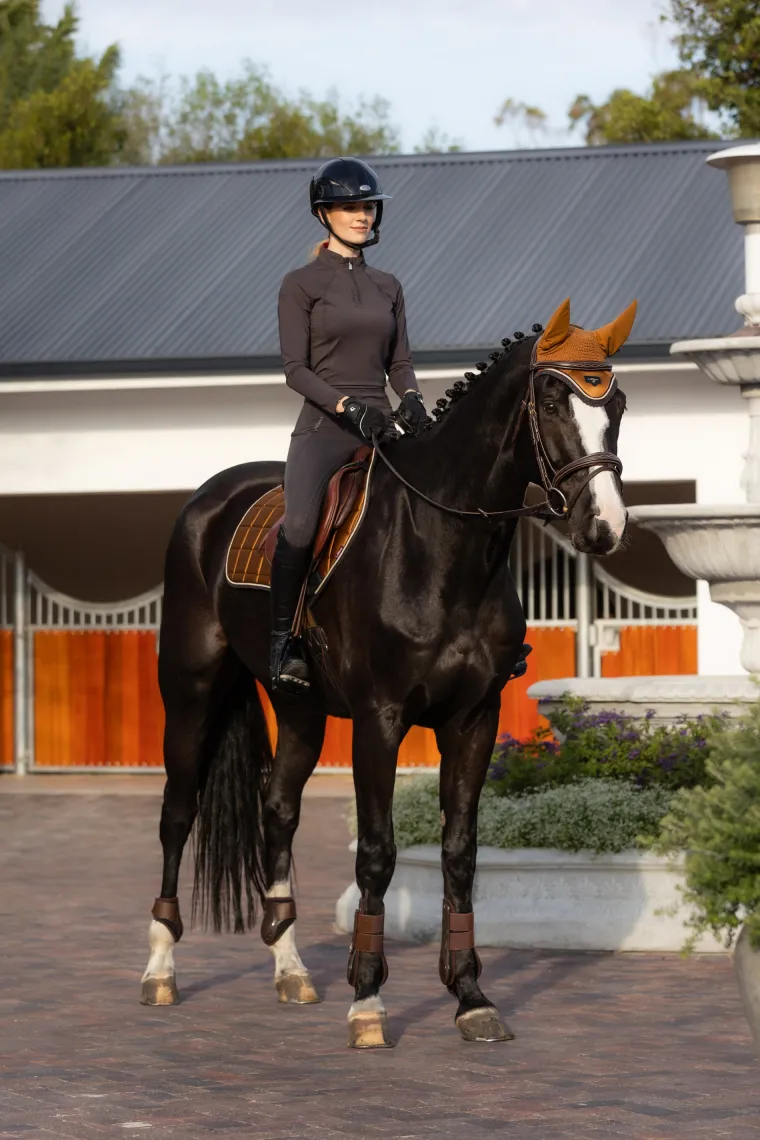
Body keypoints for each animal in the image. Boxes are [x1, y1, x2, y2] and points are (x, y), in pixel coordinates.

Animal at [140, 296, 636, 1048]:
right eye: (552, 400)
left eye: (620, 406)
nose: (605, 527)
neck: (442, 545)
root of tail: (210, 498)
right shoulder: (380, 719)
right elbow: (376, 852)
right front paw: (368, 1000)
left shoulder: (473, 719)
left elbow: (460, 852)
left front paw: (470, 995)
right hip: (191, 693)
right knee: (178, 813)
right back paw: (160, 969)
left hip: (301, 711)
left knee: (277, 811)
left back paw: (291, 969)